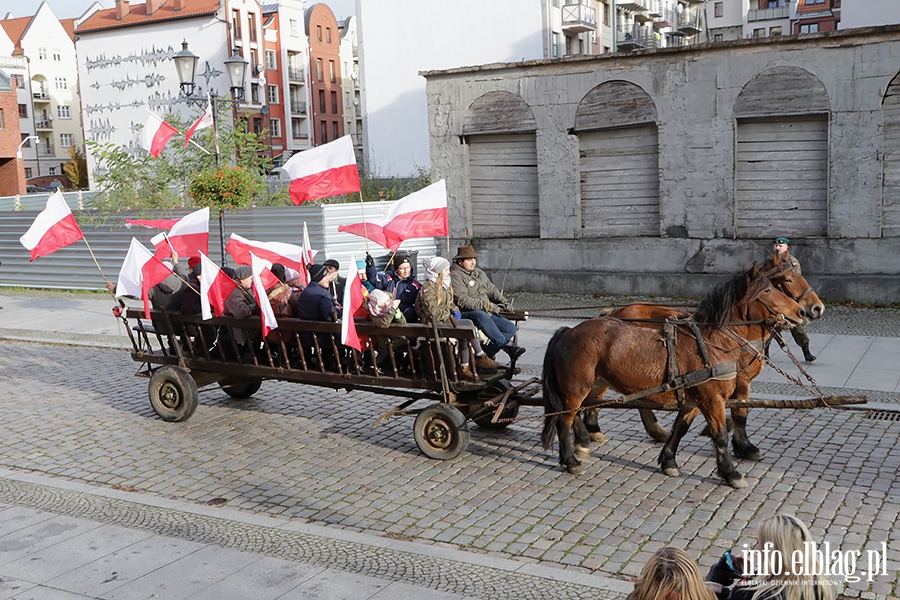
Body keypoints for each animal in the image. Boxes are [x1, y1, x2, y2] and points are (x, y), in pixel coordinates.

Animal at [536, 262, 804, 488]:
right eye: (769, 289)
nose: (801, 311)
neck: (711, 342)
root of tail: (569, 331)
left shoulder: (695, 399)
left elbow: (680, 429)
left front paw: (669, 461)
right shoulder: (713, 399)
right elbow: (719, 436)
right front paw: (731, 473)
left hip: (594, 383)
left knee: (578, 411)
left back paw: (584, 441)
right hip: (576, 388)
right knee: (564, 419)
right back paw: (571, 460)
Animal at [584, 256, 824, 460]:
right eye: (787, 279)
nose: (814, 309)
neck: (732, 331)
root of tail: (613, 313)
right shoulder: (740, 380)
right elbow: (740, 412)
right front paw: (744, 445)